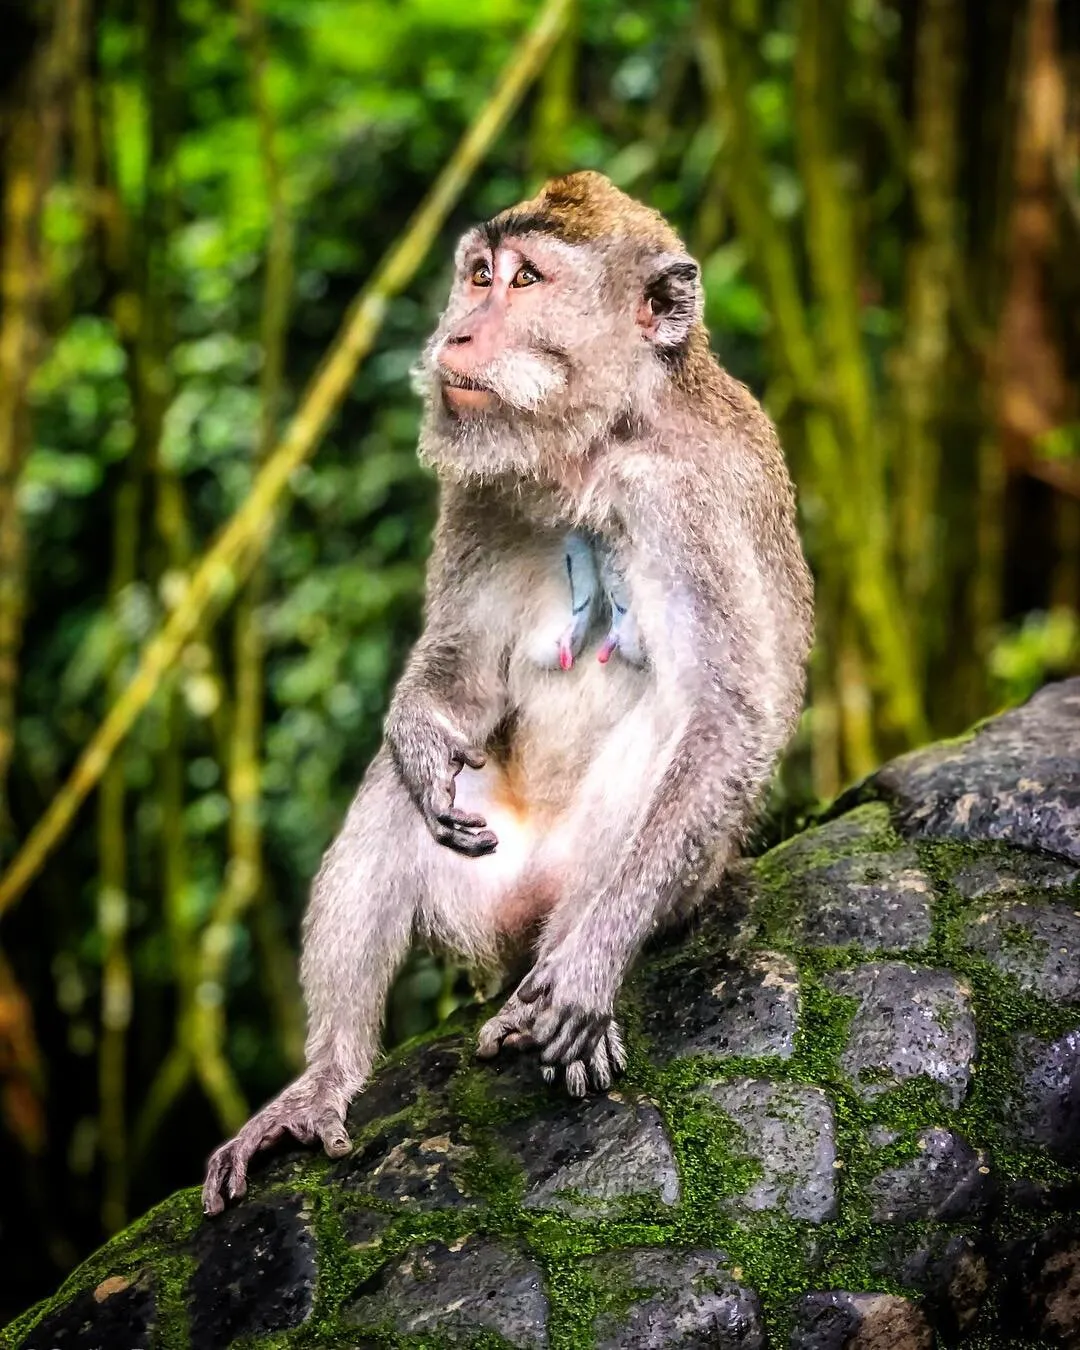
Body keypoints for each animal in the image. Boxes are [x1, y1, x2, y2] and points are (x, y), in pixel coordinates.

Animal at [202, 170, 814, 1215]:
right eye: (477, 274)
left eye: (525, 280)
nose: (455, 335)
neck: (595, 447)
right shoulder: (479, 487)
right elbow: (462, 665)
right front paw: (418, 733)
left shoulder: (681, 495)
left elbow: (727, 711)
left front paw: (594, 971)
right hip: (480, 880)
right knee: (401, 793)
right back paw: (324, 1079)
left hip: (644, 885)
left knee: (667, 744)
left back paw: (559, 982)